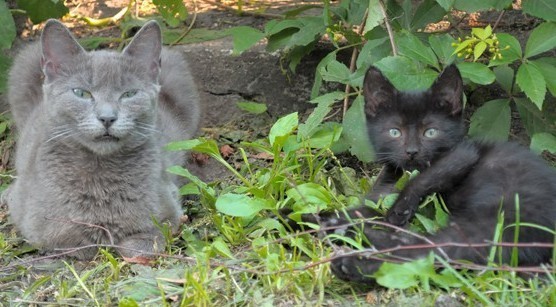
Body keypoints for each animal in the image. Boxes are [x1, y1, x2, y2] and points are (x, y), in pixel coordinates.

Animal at [2, 19, 200, 260]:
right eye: (81, 93)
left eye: (129, 94)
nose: (107, 117)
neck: (99, 174)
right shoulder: (34, 221)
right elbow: (69, 238)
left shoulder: (169, 207)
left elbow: (145, 241)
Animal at [318, 65, 556, 284]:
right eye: (395, 132)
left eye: (430, 132)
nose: (412, 151)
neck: (400, 174)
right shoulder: (379, 196)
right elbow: (363, 209)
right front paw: (326, 219)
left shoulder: (464, 153)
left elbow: (425, 177)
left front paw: (400, 207)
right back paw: (345, 231)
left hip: (500, 220)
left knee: (435, 253)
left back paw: (353, 264)